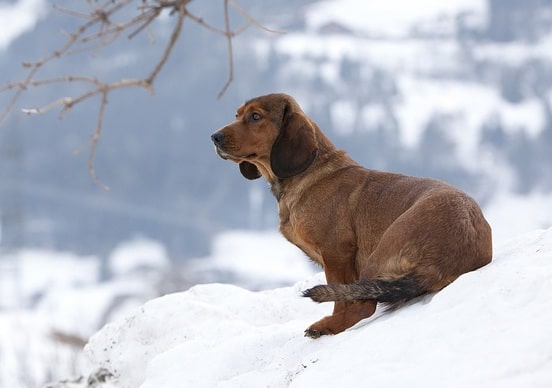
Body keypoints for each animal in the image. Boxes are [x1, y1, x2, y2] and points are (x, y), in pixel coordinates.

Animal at [210, 93, 492, 336]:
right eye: (237, 114)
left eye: (256, 116)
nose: (214, 137)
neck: (310, 173)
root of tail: (442, 262)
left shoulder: (336, 253)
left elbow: (342, 301)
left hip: (380, 250)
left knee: (363, 306)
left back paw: (325, 326)